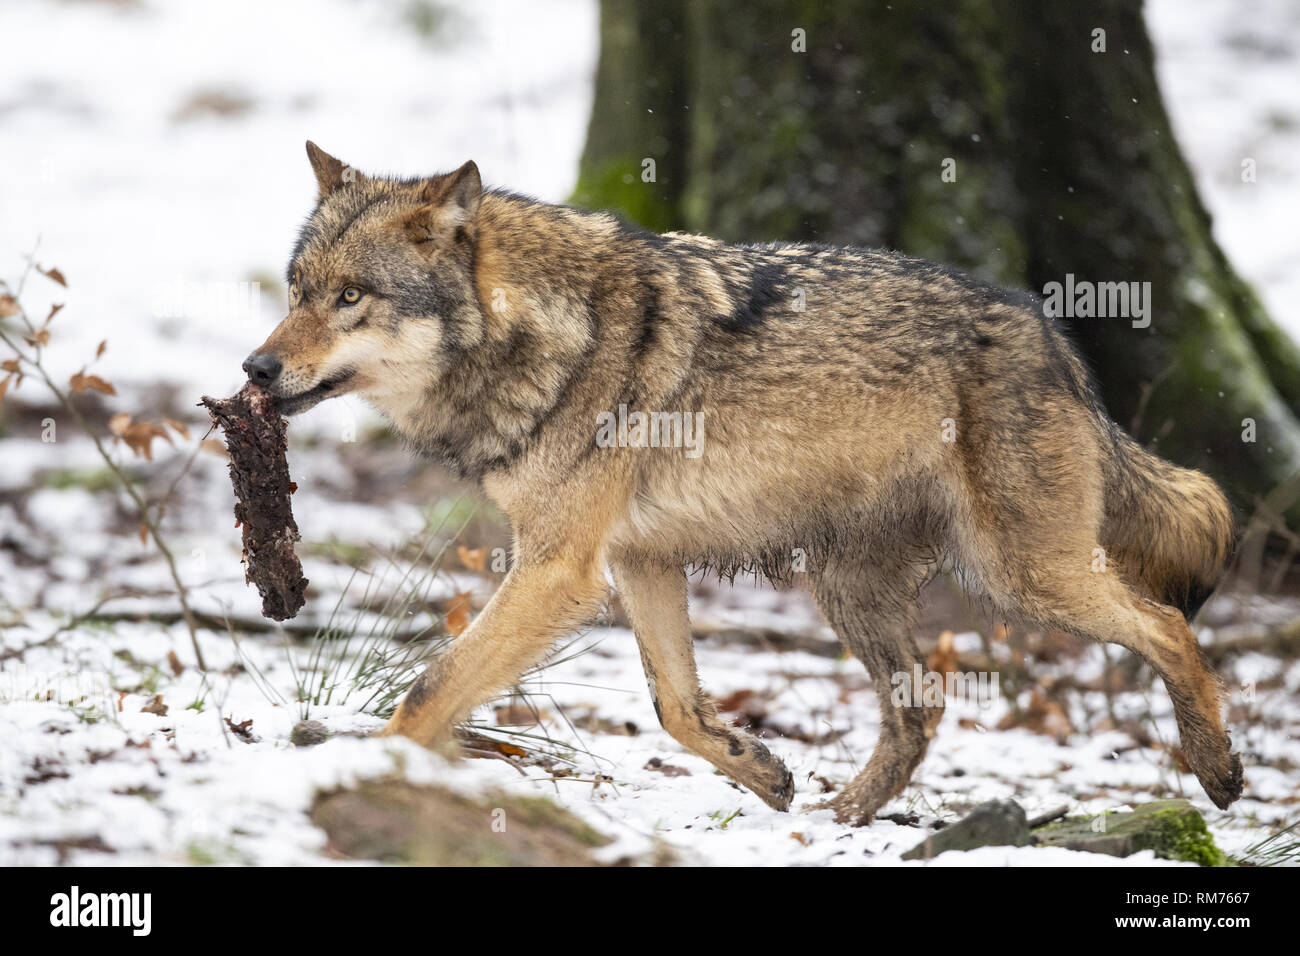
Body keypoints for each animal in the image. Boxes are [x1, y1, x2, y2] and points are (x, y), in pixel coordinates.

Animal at [243, 142, 1242, 822]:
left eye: (351, 297)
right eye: (296, 290)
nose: (254, 369)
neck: (545, 335)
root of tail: (1055, 341)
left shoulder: (559, 569)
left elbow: (431, 688)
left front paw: (368, 778)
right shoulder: (638, 564)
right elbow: (677, 708)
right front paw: (764, 771)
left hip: (1021, 573)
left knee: (1169, 627)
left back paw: (1220, 770)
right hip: (851, 587)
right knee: (922, 705)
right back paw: (843, 818)